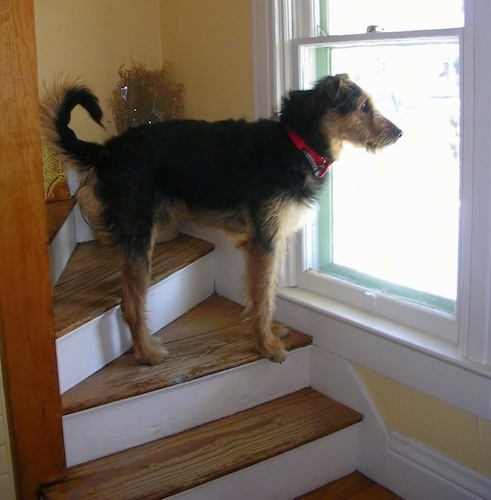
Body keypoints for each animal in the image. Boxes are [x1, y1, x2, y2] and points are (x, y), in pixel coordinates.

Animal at [41, 73, 404, 364]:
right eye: (363, 106)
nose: (400, 133)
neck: (298, 143)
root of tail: (105, 151)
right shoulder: (264, 242)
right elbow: (262, 297)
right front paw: (267, 346)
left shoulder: (274, 240)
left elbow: (267, 293)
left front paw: (269, 333)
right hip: (141, 238)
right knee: (130, 304)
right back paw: (147, 353)